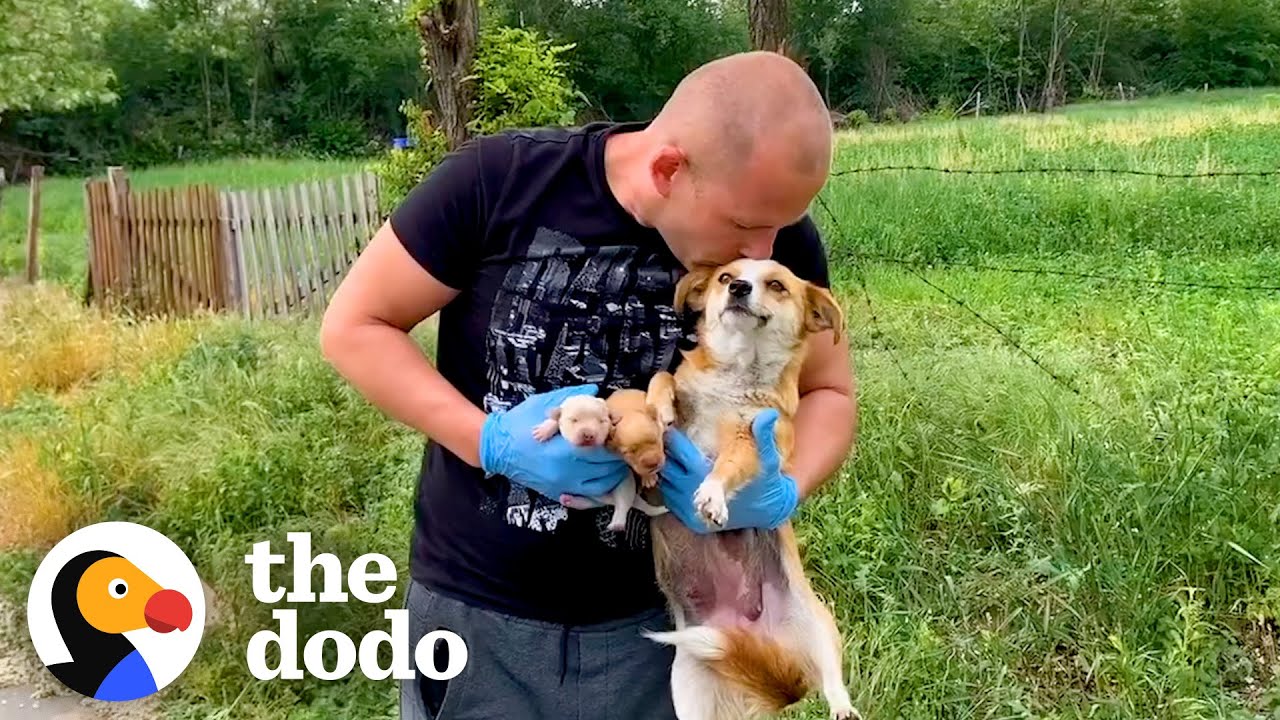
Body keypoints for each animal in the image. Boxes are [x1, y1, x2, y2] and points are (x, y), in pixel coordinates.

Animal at [640, 257, 860, 717]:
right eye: (725, 276)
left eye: (776, 285)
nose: (738, 288)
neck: (736, 375)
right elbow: (662, 379)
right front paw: (657, 408)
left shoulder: (754, 441)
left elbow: (728, 463)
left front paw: (712, 494)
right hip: (690, 686)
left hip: (821, 627)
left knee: (832, 680)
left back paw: (842, 707)